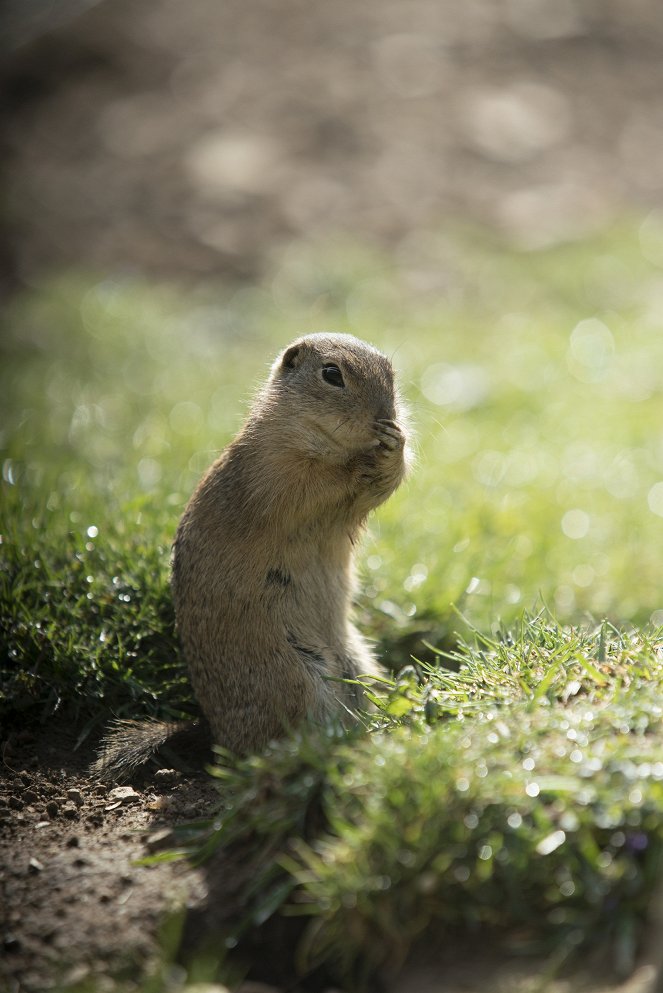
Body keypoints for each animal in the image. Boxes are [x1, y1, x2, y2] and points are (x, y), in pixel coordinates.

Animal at [92, 332, 404, 776]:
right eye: (332, 375)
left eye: (391, 373)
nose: (385, 414)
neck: (326, 442)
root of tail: (216, 737)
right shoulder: (273, 471)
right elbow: (311, 487)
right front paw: (368, 459)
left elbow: (382, 484)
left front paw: (395, 442)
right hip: (294, 677)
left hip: (356, 664)